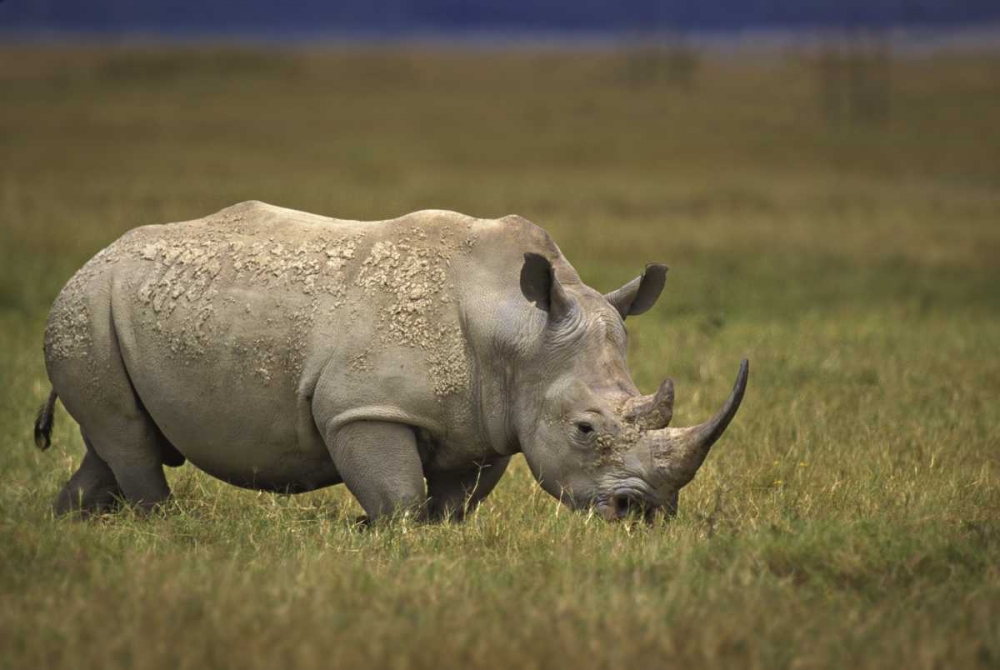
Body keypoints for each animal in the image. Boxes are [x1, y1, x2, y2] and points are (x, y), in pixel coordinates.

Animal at [34, 201, 748, 522]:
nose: (645, 512)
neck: (517, 332)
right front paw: (375, 531)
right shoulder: (361, 407)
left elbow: (457, 503)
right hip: (85, 308)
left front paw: (435, 537)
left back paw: (73, 523)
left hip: (102, 313)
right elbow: (398, 496)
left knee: (114, 442)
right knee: (127, 439)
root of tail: (90, 261)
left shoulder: (487, 421)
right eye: (585, 429)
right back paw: (159, 524)